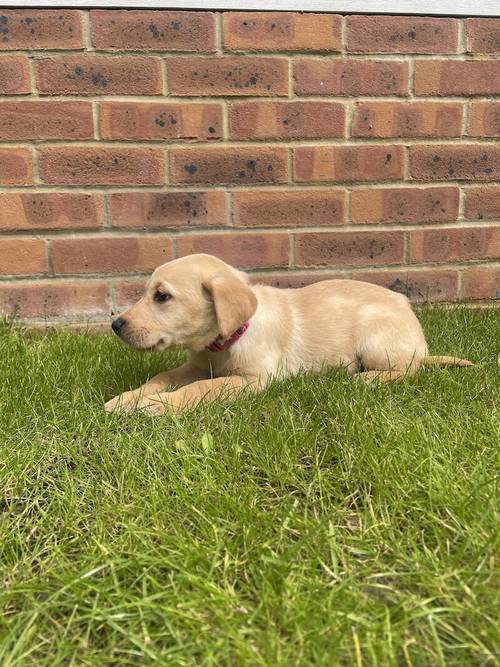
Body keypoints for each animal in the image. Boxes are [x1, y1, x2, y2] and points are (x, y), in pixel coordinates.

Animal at [105, 253, 472, 414]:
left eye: (162, 296)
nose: (116, 325)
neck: (224, 342)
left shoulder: (254, 379)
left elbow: (203, 389)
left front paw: (155, 405)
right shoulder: (195, 365)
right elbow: (164, 376)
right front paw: (128, 398)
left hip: (376, 338)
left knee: (409, 368)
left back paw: (367, 379)